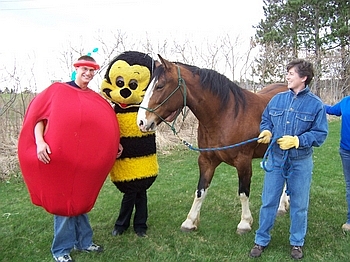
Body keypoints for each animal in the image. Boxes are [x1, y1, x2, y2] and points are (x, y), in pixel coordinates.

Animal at [138, 54, 288, 233]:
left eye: (160, 86)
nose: (141, 122)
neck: (226, 115)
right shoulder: (206, 160)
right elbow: (200, 191)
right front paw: (190, 221)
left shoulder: (243, 161)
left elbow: (243, 192)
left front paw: (245, 222)